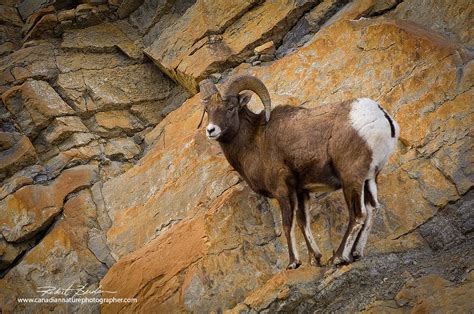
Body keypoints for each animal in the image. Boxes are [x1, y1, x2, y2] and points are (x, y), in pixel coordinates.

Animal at [198, 75, 398, 268]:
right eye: (208, 110)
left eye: (230, 108)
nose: (211, 130)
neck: (255, 141)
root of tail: (380, 115)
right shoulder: (302, 191)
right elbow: (303, 222)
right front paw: (314, 259)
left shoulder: (283, 191)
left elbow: (288, 225)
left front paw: (293, 263)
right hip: (369, 179)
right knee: (372, 209)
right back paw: (355, 254)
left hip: (351, 178)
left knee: (357, 214)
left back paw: (339, 258)